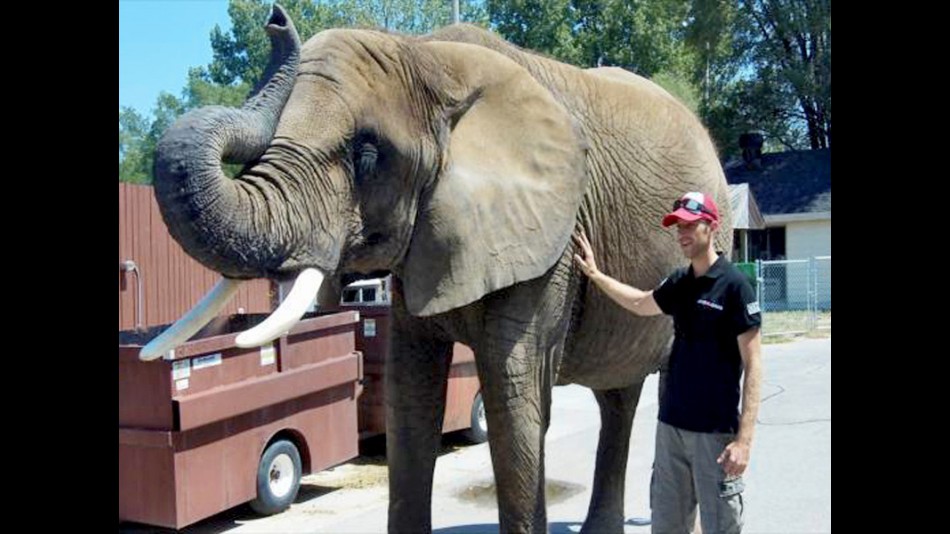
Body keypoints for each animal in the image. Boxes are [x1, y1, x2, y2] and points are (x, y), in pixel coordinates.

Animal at [140, 5, 733, 533]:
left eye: (366, 156)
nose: (276, 19)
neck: (431, 58)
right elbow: (410, 394)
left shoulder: (551, 246)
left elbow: (512, 396)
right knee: (619, 397)